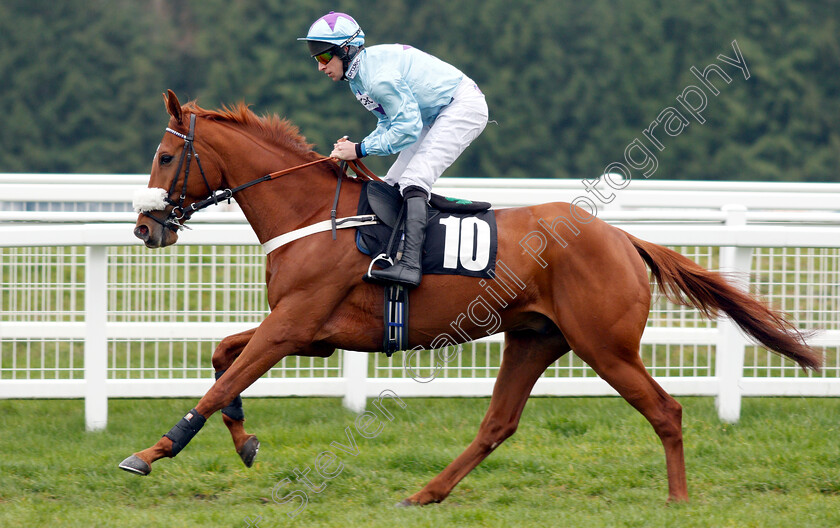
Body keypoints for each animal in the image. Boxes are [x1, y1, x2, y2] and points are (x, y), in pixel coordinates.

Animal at [120, 91, 820, 504]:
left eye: (164, 157)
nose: (146, 227)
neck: (316, 215)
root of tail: (623, 237)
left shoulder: (295, 326)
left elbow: (218, 383)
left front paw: (151, 453)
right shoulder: (310, 334)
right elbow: (222, 358)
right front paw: (244, 442)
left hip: (605, 345)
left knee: (665, 411)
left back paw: (676, 502)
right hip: (534, 339)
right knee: (498, 423)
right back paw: (426, 493)